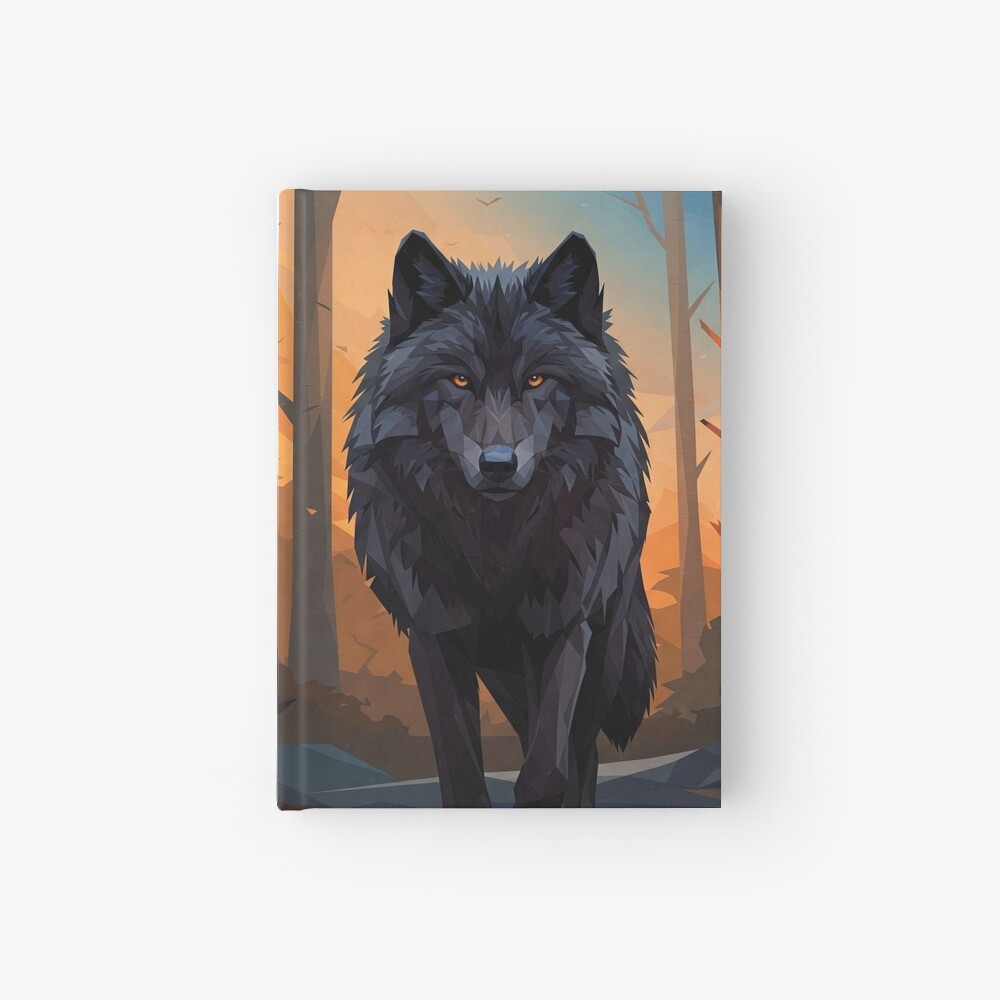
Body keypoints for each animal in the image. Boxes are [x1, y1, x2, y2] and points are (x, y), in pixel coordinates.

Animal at [345, 230, 655, 807]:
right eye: (459, 379)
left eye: (535, 378)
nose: (497, 464)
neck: (496, 547)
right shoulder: (434, 634)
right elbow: (462, 773)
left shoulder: (564, 629)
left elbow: (546, 772)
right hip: (504, 674)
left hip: (603, 654)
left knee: (584, 752)